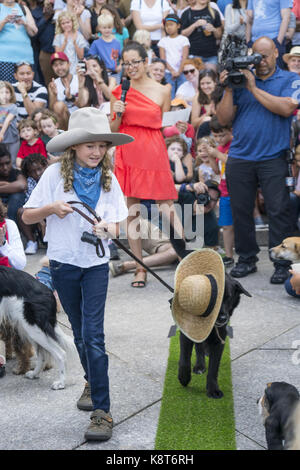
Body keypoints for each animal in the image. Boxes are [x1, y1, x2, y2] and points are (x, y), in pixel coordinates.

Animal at [169, 237, 251, 398]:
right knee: (198, 346)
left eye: (229, 297)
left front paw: (213, 389)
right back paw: (199, 365)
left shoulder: (220, 340)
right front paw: (184, 377)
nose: (222, 319)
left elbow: (214, 367)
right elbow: (184, 359)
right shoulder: (187, 333)